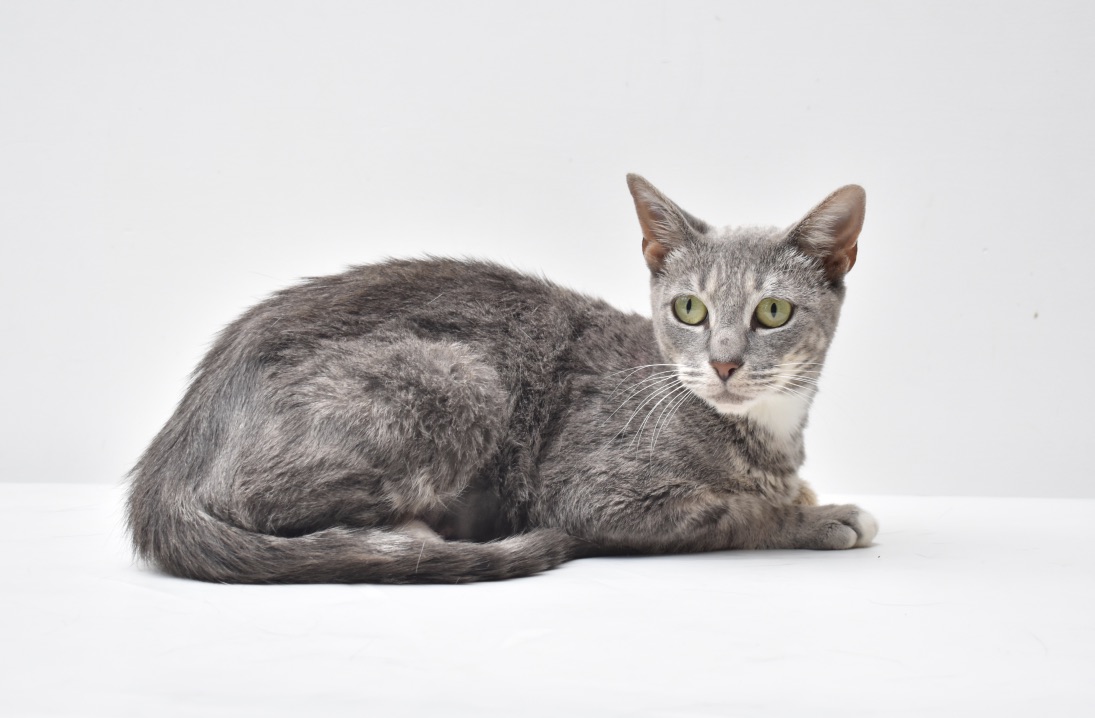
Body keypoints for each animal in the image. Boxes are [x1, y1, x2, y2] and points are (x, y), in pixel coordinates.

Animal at [126, 174, 877, 584]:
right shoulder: (588, 495)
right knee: (255, 503)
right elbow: (735, 510)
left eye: (772, 312)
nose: (723, 362)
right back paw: (412, 538)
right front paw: (824, 516)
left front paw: (809, 494)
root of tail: (171, 453)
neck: (765, 430)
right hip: (459, 376)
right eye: (689, 309)